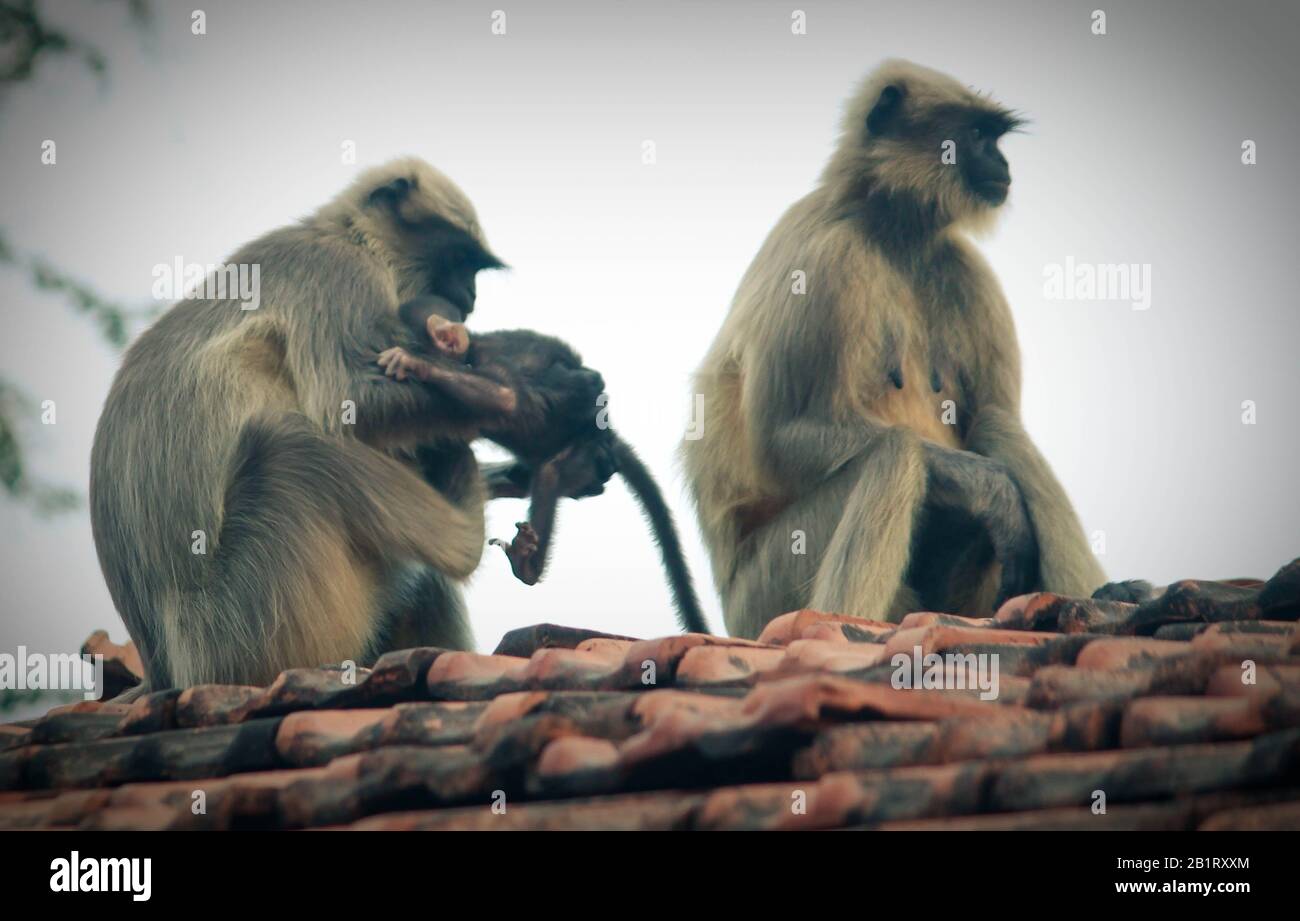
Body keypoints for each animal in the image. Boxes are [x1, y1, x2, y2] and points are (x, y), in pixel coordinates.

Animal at [90, 158, 609, 691]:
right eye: (459, 260)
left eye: (473, 268)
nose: (470, 294)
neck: (352, 237)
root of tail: (171, 672)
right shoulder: (338, 271)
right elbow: (350, 398)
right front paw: (544, 406)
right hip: (252, 624)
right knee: (293, 446)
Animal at [376, 295, 710, 635]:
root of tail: (606, 436)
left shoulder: (491, 361)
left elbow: (506, 398)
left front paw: (415, 364)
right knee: (526, 478)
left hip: (585, 453)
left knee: (551, 472)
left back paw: (528, 567)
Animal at [681, 60, 1106, 639]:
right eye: (978, 135)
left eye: (995, 138)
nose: (1002, 163)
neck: (889, 226)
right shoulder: (822, 258)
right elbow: (779, 439)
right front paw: (988, 487)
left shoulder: (967, 271)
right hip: (764, 591)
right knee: (895, 452)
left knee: (997, 425)